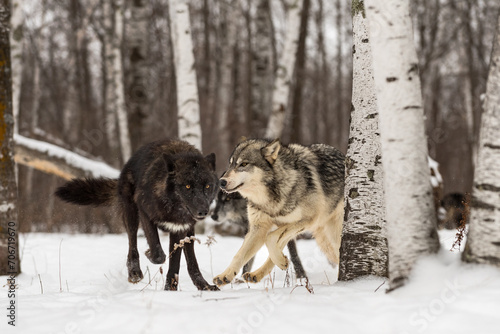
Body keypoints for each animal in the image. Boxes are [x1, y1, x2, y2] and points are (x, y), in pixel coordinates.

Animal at [55, 138, 219, 290]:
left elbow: (176, 264)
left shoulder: (179, 229)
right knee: (132, 243)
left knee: (191, 259)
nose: (203, 211)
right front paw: (148, 254)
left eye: (207, 186)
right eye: (187, 186)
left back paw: (203, 285)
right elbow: (158, 254)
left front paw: (170, 290)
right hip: (132, 215)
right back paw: (134, 272)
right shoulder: (145, 213)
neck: (171, 205)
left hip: (189, 232)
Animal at [213, 138, 346, 284]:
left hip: (333, 237)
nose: (221, 182)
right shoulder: (258, 228)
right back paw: (257, 274)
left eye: (243, 164)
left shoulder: (307, 219)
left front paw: (281, 261)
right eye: (230, 164)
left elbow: (270, 238)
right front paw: (224, 276)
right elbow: (239, 255)